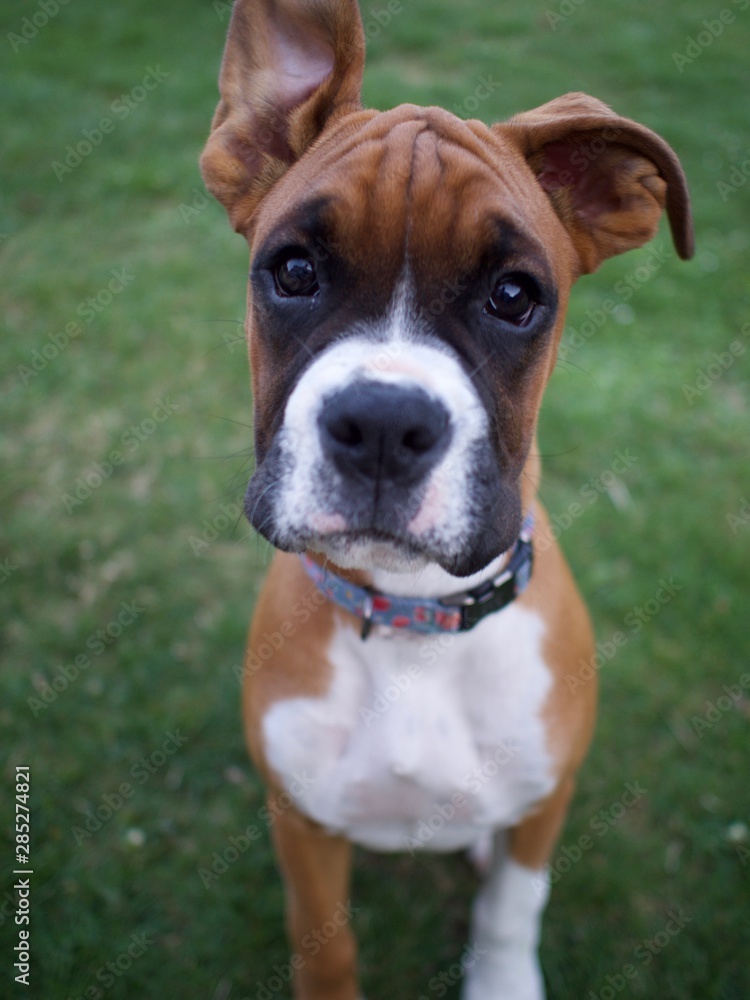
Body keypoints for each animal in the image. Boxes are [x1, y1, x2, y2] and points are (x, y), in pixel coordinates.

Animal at [198, 3, 692, 996]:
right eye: (294, 272)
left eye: (514, 295)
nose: (385, 423)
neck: (412, 621)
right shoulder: (302, 827)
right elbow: (326, 942)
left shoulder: (546, 802)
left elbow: (513, 906)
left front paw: (502, 979)